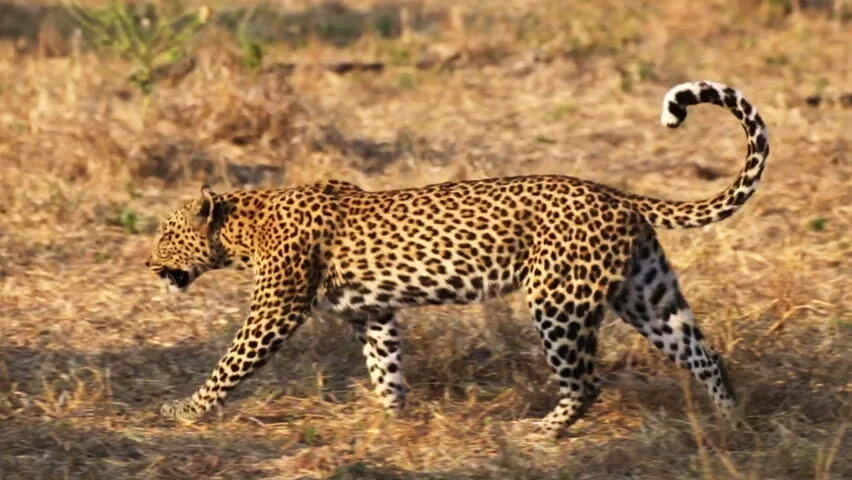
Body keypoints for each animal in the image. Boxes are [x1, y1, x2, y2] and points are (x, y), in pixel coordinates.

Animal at [145, 80, 769, 437]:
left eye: (164, 236)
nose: (149, 268)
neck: (243, 226)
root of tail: (617, 194)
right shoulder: (373, 313)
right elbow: (385, 368)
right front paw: (392, 421)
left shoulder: (276, 309)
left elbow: (230, 364)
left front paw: (185, 411)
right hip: (646, 294)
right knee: (702, 353)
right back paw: (733, 425)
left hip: (557, 300)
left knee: (587, 381)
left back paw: (541, 431)